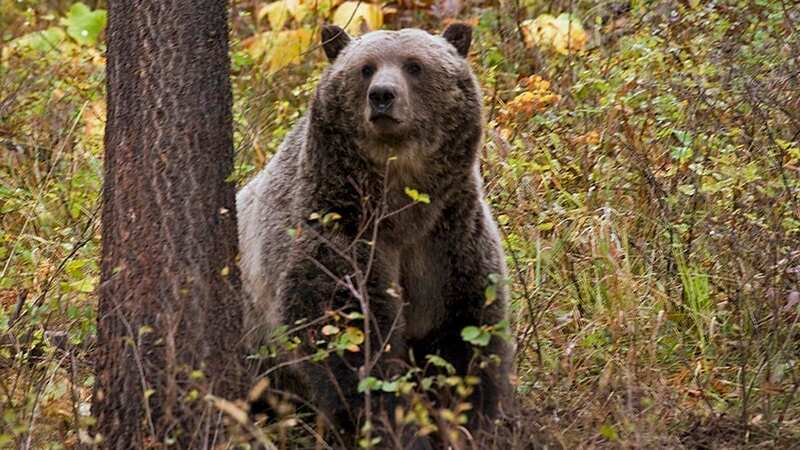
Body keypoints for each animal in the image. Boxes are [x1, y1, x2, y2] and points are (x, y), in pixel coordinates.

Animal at [238, 23, 512, 446]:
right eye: (365, 68)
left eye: (414, 65)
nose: (382, 95)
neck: (402, 207)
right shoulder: (341, 230)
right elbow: (350, 339)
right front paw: (394, 427)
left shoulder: (449, 240)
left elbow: (465, 337)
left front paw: (469, 422)